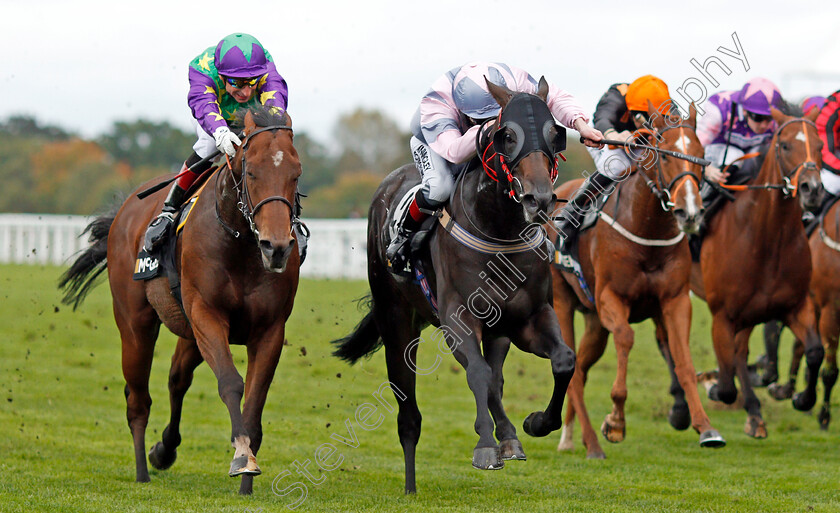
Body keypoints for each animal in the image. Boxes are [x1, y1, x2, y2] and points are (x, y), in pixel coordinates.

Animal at [58, 107, 302, 492]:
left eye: (296, 174)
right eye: (251, 171)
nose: (276, 247)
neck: (241, 243)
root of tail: (126, 209)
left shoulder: (269, 329)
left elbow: (254, 399)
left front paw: (248, 478)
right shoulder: (207, 314)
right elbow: (231, 382)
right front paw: (241, 456)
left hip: (188, 333)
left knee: (177, 379)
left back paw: (164, 449)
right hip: (136, 325)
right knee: (138, 399)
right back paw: (142, 471)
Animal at [332, 77, 576, 492]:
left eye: (553, 133)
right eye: (506, 135)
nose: (539, 198)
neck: (498, 232)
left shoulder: (530, 318)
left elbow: (562, 360)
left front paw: (535, 423)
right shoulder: (456, 318)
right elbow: (476, 373)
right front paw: (485, 447)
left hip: (498, 331)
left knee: (496, 378)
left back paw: (509, 437)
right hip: (397, 322)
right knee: (409, 412)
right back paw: (411, 484)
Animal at [552, 102, 720, 458]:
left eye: (700, 154)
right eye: (666, 157)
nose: (690, 213)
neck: (647, 230)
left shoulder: (675, 301)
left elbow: (683, 359)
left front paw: (705, 426)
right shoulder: (610, 298)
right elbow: (627, 337)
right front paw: (615, 421)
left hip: (594, 321)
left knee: (581, 368)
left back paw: (570, 436)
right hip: (561, 302)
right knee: (572, 371)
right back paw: (591, 442)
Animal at [688, 106, 828, 438]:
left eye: (820, 146)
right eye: (785, 145)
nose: (813, 190)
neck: (765, 238)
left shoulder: (796, 306)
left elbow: (815, 351)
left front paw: (800, 398)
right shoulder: (722, 315)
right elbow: (727, 384)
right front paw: (713, 384)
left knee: (740, 353)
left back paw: (754, 412)